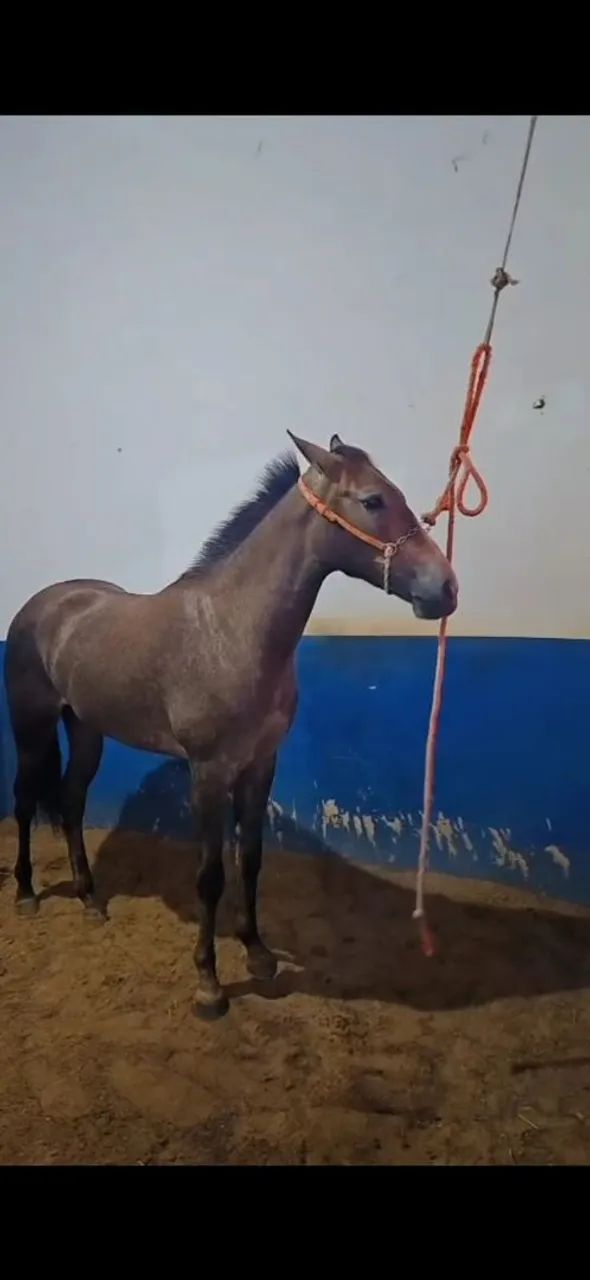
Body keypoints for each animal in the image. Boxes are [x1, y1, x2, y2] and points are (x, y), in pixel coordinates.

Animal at [4, 431, 457, 1018]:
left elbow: (252, 860)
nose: (444, 588)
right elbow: (210, 875)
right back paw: (26, 894)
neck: (233, 630)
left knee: (71, 800)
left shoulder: (260, 766)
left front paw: (258, 954)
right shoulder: (209, 773)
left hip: (86, 730)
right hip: (31, 727)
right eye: (374, 500)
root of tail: (43, 604)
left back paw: (89, 899)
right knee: (24, 801)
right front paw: (209, 984)